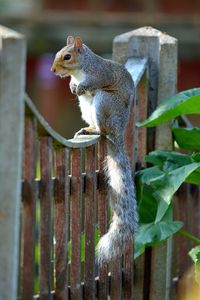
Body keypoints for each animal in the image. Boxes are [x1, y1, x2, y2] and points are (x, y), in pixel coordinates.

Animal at [50, 36, 138, 264]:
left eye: (67, 56)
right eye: (58, 53)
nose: (53, 70)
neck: (81, 69)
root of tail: (118, 130)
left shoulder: (100, 74)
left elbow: (92, 82)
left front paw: (80, 86)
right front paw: (72, 85)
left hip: (104, 102)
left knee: (103, 129)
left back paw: (97, 129)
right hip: (86, 106)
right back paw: (87, 128)